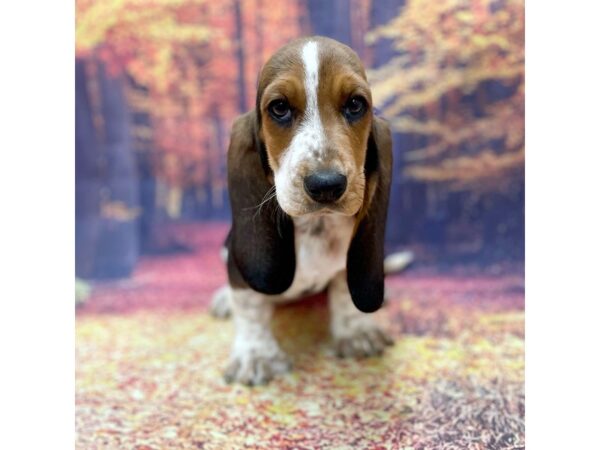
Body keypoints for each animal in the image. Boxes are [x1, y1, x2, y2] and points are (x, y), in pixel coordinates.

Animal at [213, 36, 396, 386]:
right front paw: (256, 355)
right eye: (279, 108)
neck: (315, 226)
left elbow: (343, 289)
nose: (326, 185)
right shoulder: (240, 274)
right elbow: (250, 306)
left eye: (356, 104)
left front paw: (355, 332)